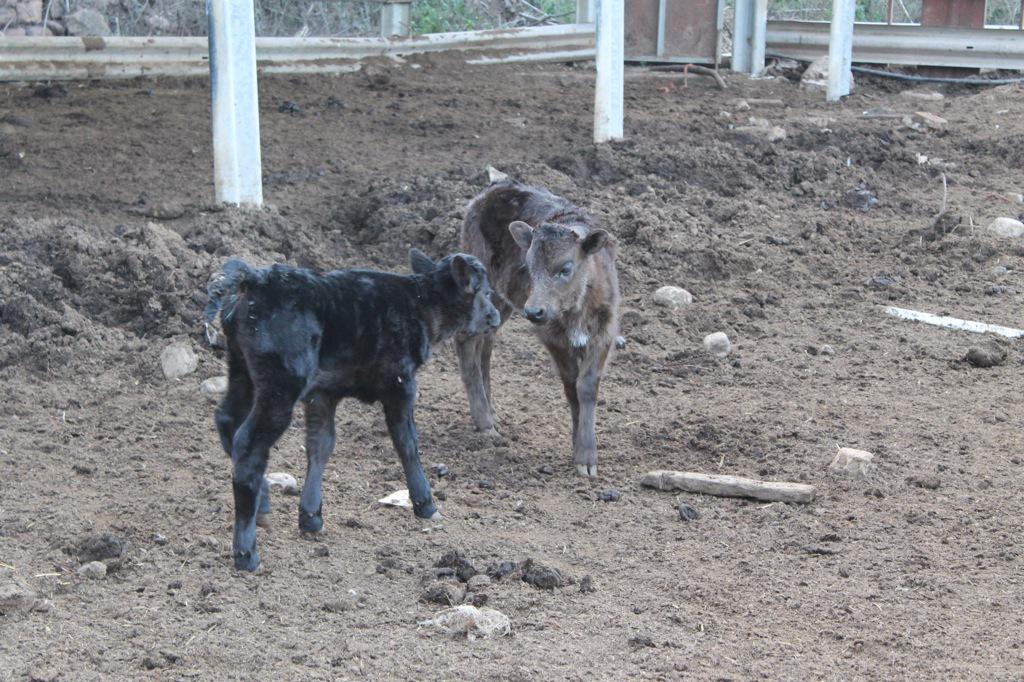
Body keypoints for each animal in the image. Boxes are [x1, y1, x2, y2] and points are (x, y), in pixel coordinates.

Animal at [204, 250, 501, 571]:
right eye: (486, 292)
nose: (496, 316)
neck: (421, 302)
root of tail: (257, 279)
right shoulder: (400, 383)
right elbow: (407, 442)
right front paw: (425, 503)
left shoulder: (323, 393)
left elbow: (321, 445)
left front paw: (311, 516)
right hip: (281, 383)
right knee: (248, 444)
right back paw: (246, 553)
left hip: (242, 369)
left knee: (227, 420)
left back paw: (264, 504)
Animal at [456, 181, 620, 477]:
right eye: (529, 267)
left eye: (565, 268)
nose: (534, 311)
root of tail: (488, 192)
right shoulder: (552, 337)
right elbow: (571, 385)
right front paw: (582, 453)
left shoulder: (605, 330)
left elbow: (587, 386)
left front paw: (585, 453)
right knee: (466, 338)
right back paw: (485, 423)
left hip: (501, 300)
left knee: (486, 341)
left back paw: (491, 413)